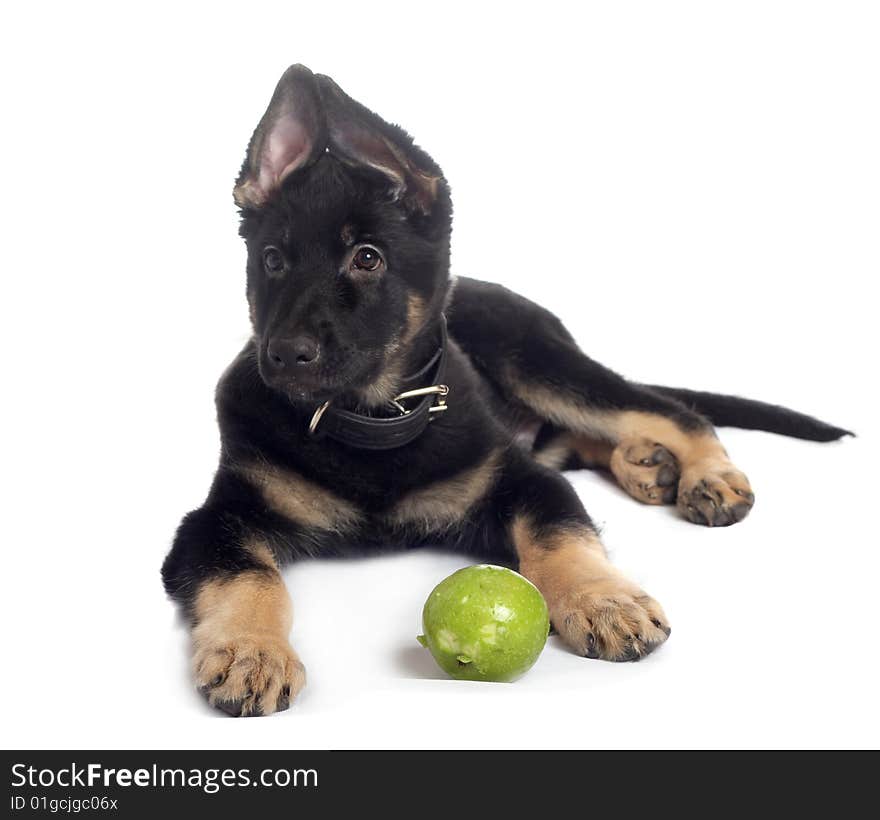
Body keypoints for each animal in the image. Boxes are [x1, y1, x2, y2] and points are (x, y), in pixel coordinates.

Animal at [162, 65, 848, 716]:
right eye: (272, 261)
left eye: (367, 258)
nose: (283, 355)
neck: (374, 422)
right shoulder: (214, 521)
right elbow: (250, 577)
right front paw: (251, 651)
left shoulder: (521, 478)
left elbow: (559, 534)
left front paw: (603, 599)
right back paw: (647, 465)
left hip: (536, 363)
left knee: (667, 411)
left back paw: (705, 475)